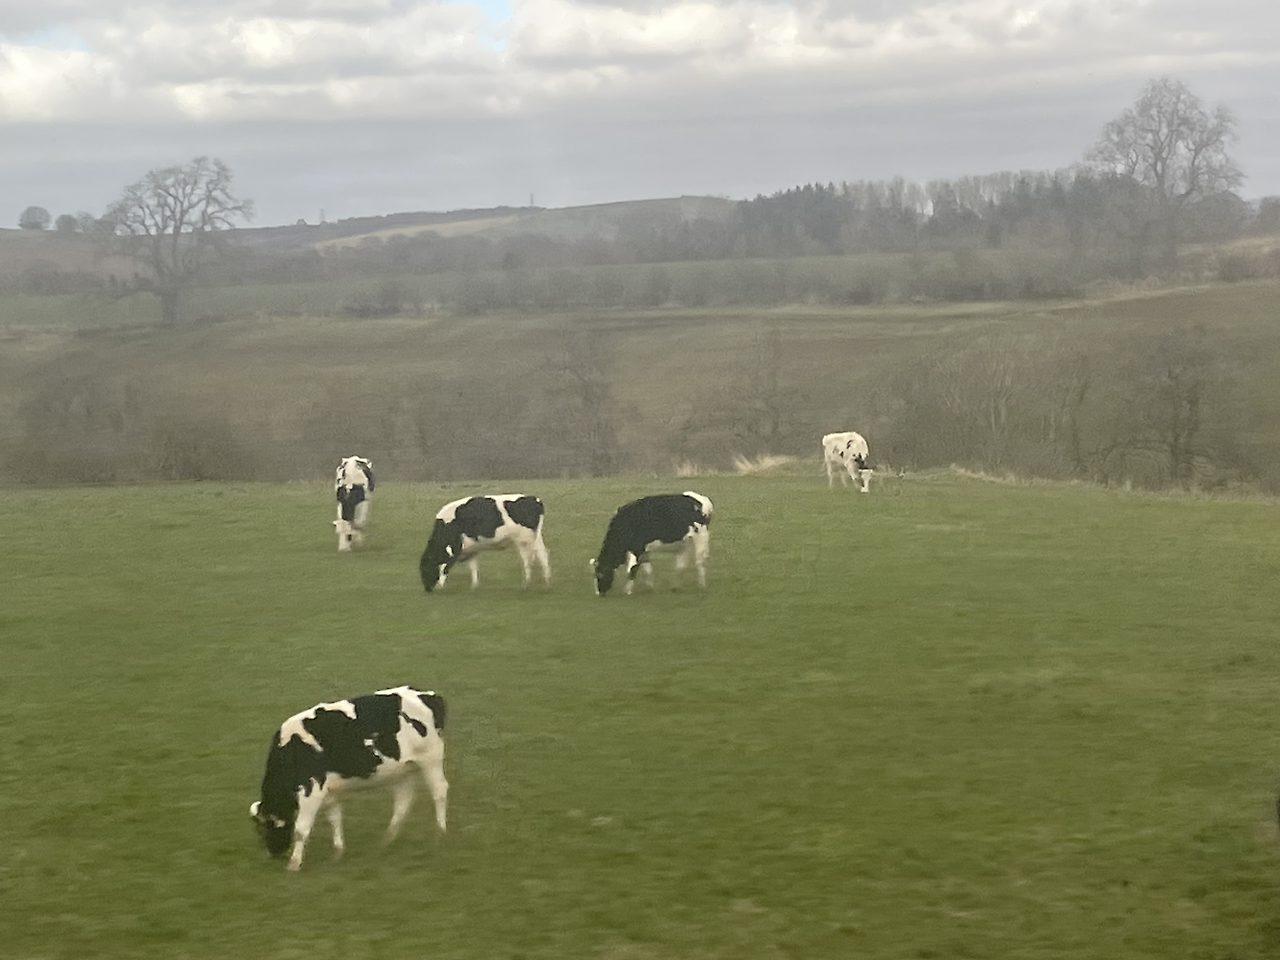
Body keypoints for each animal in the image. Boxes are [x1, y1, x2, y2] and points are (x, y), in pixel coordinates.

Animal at [249, 685, 447, 871]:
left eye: (266, 826)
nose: (274, 852)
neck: (293, 750)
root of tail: (428, 695)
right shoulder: (330, 791)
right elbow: (335, 818)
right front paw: (338, 851)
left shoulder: (311, 789)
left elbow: (301, 829)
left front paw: (294, 864)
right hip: (403, 770)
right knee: (403, 802)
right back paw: (387, 839)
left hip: (431, 757)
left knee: (439, 791)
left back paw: (440, 833)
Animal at [419, 494, 551, 592]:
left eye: (425, 568)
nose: (427, 589)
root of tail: (534, 499)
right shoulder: (471, 549)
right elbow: (473, 566)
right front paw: (474, 585)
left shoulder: (454, 549)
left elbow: (444, 568)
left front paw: (440, 586)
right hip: (530, 540)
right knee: (536, 557)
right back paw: (538, 582)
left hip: (526, 540)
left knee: (534, 557)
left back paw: (535, 583)